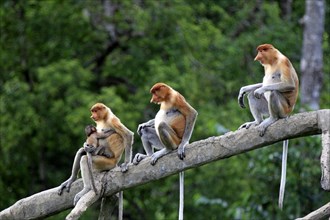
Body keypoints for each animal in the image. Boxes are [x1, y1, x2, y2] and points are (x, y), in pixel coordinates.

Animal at [133, 82, 197, 220]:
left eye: (154, 93)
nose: (152, 100)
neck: (167, 98)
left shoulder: (176, 98)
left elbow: (191, 113)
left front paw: (183, 145)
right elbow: (147, 125)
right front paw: (144, 124)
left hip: (174, 140)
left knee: (162, 125)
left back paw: (167, 150)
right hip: (159, 141)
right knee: (146, 132)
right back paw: (147, 155)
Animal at [237, 43, 300, 210]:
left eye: (262, 51)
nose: (256, 57)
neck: (273, 61)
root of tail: (289, 112)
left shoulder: (284, 62)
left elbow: (288, 85)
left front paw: (260, 89)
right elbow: (257, 86)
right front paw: (243, 90)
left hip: (283, 108)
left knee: (272, 92)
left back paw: (271, 119)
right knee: (252, 95)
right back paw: (256, 122)